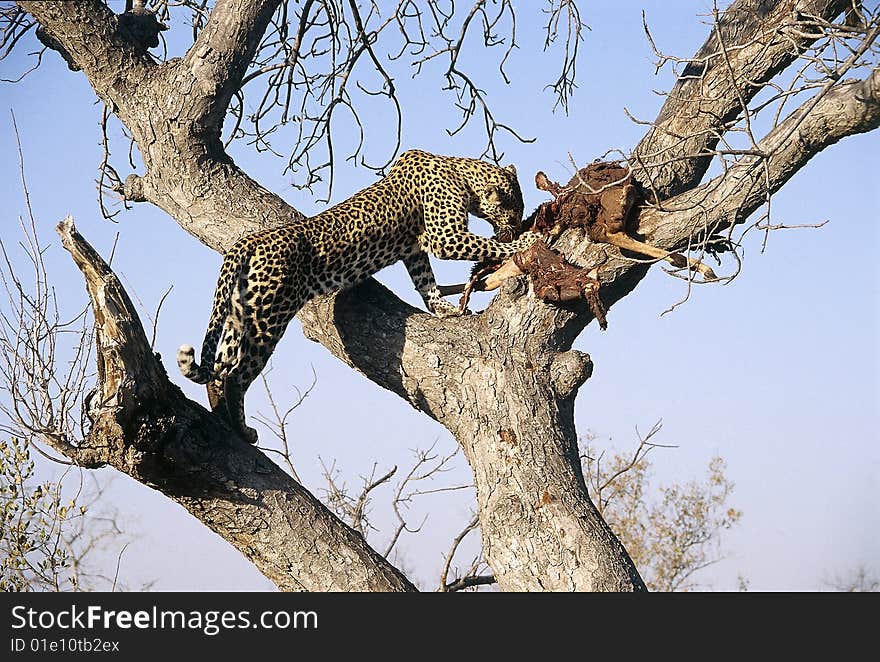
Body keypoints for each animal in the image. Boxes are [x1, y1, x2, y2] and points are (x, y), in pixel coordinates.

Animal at [175, 148, 540, 444]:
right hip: (268, 317)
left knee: (220, 368)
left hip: (240, 315)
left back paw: (223, 416)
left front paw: (443, 308)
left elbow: (425, 282)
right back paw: (241, 429)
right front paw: (524, 242)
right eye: (515, 208)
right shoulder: (444, 237)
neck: (462, 175)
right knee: (235, 375)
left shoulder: (415, 250)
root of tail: (247, 242)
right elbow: (487, 246)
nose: (517, 224)